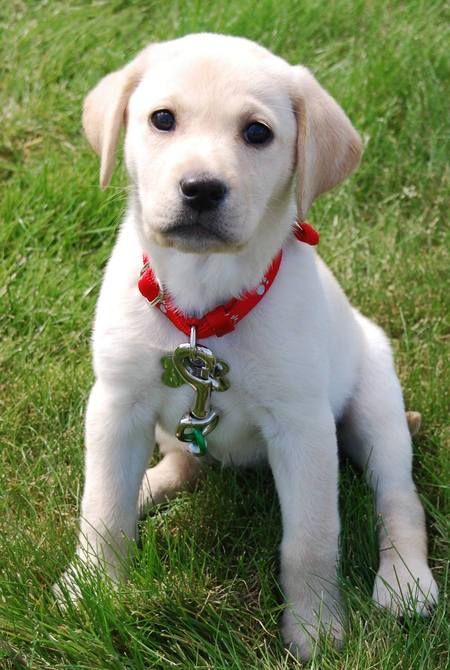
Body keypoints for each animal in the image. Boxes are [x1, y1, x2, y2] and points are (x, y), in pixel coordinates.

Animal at [57, 34, 440, 660]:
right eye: (162, 119)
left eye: (257, 132)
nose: (201, 189)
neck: (202, 309)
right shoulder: (115, 403)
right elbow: (104, 508)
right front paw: (89, 589)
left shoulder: (304, 427)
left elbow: (310, 539)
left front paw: (315, 627)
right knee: (181, 464)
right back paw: (148, 487)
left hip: (377, 404)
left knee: (398, 497)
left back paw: (405, 581)